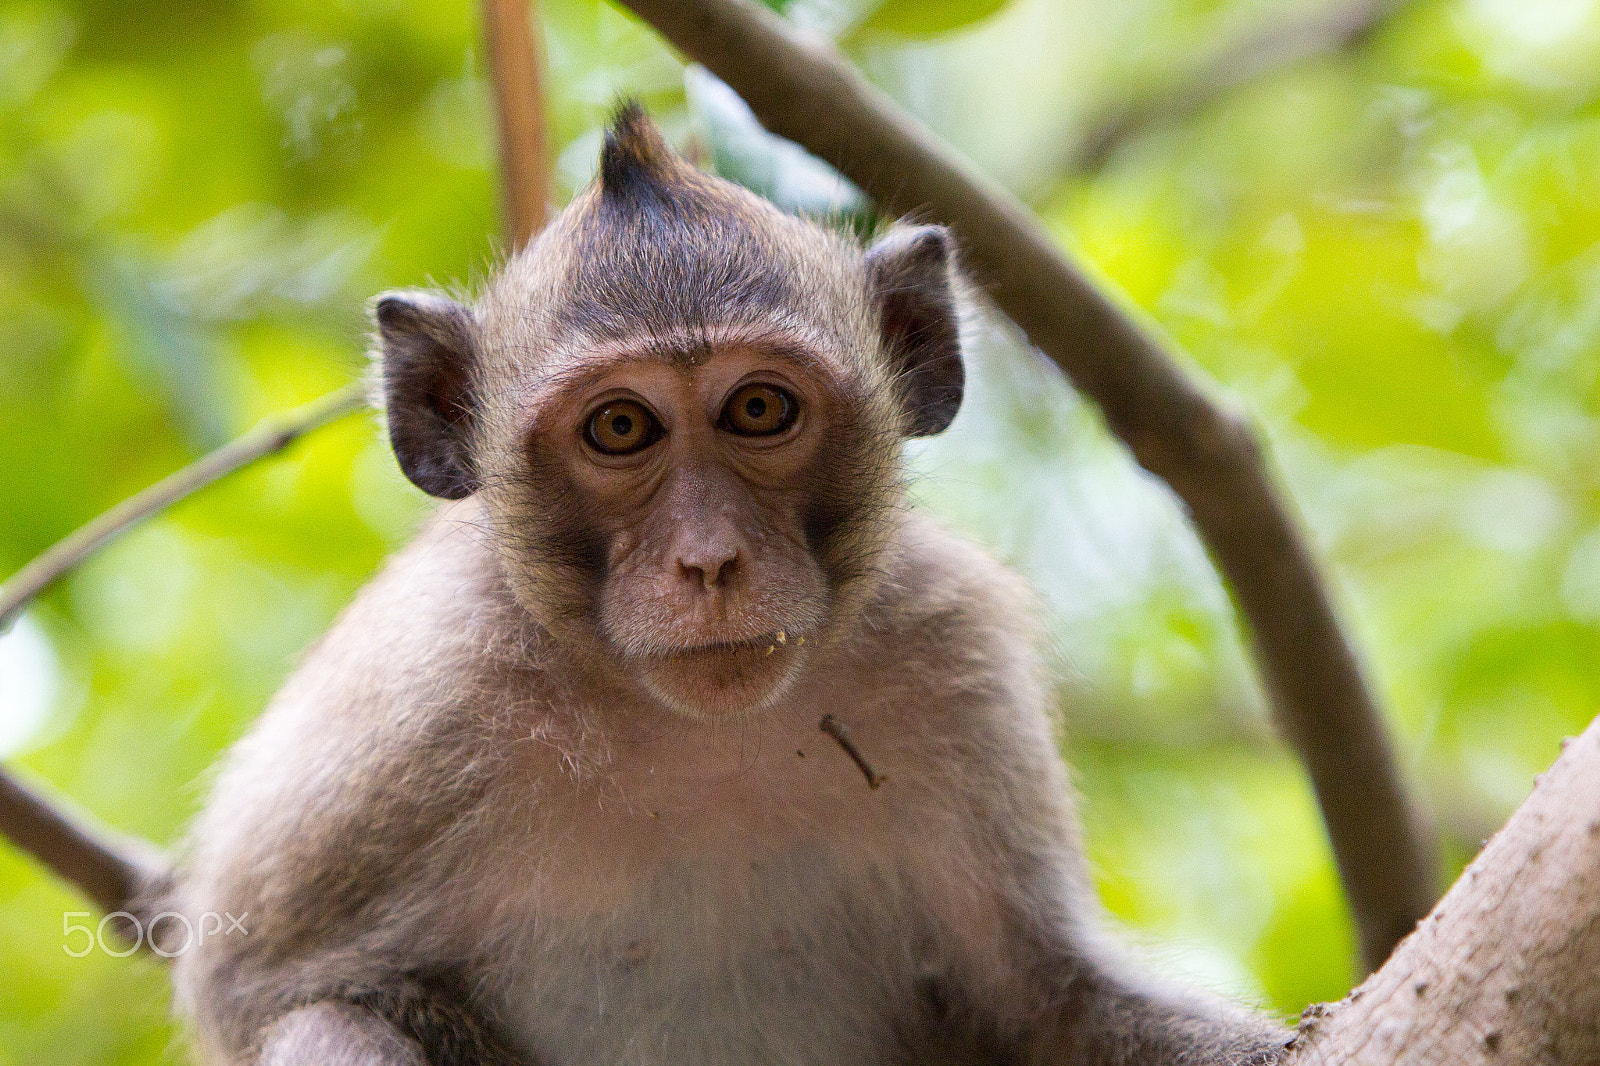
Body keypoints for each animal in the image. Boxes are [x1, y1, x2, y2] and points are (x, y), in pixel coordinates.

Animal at [165, 104, 1290, 1066]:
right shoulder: (419, 698)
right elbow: (262, 985)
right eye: (621, 426)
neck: (705, 734)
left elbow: (1049, 998)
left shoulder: (951, 649)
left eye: (757, 408)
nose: (709, 560)